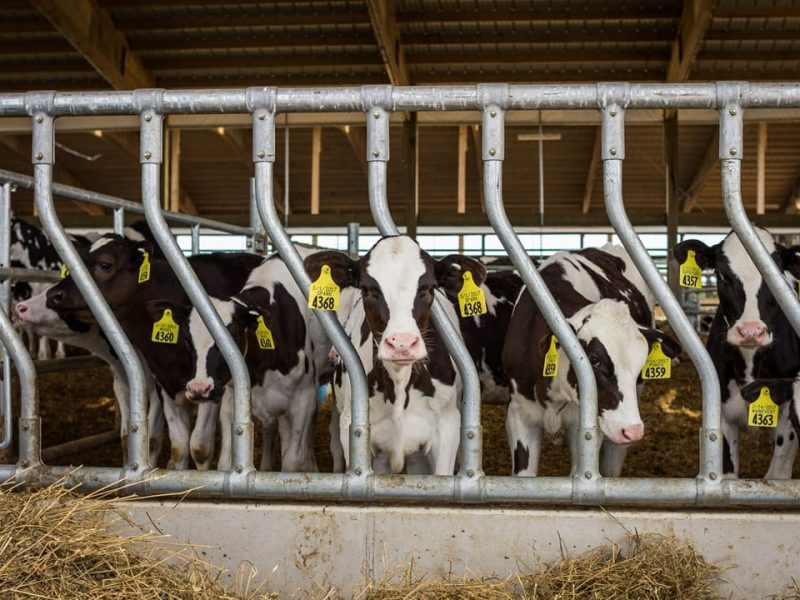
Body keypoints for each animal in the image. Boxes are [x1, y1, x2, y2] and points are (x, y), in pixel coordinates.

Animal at [45, 233, 263, 470]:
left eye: (105, 264)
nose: (52, 294)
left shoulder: (211, 383)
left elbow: (200, 446)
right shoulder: (164, 384)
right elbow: (179, 446)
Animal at [161, 246, 331, 472]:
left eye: (232, 334)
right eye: (188, 339)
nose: (199, 389)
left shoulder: (304, 398)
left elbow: (293, 462)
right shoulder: (231, 402)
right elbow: (225, 462)